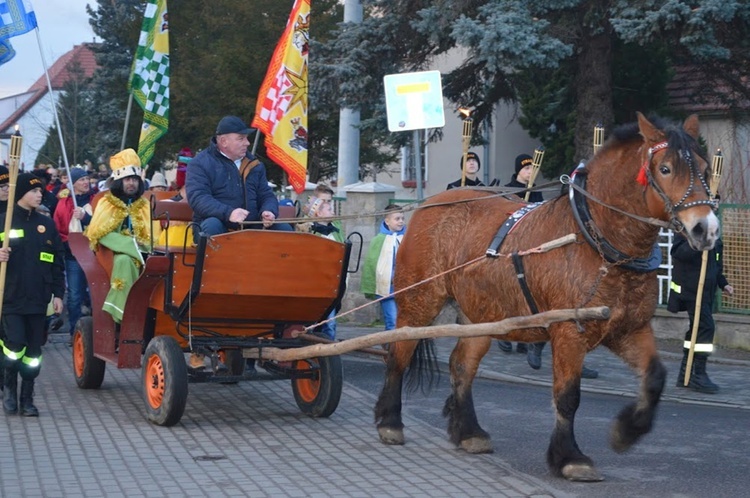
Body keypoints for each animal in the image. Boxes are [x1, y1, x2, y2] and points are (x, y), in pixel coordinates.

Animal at [378, 112, 720, 478]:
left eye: (704, 168)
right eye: (666, 168)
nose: (706, 228)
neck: (594, 240)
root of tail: (432, 204)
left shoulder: (630, 329)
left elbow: (655, 378)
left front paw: (627, 430)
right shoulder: (569, 332)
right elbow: (568, 396)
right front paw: (569, 456)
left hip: (482, 315)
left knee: (461, 365)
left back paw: (469, 432)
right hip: (420, 302)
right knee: (399, 353)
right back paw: (389, 422)